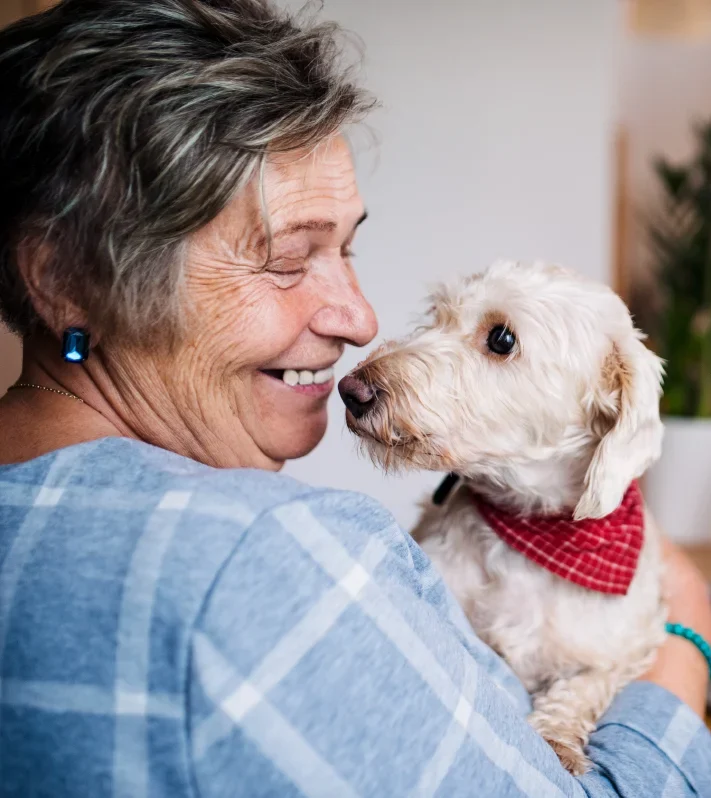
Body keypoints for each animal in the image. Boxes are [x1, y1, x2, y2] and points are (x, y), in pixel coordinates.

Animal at [342, 260, 672, 776]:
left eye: (501, 338)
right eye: (436, 315)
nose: (350, 390)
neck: (533, 534)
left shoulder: (627, 646)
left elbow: (584, 686)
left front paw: (557, 737)